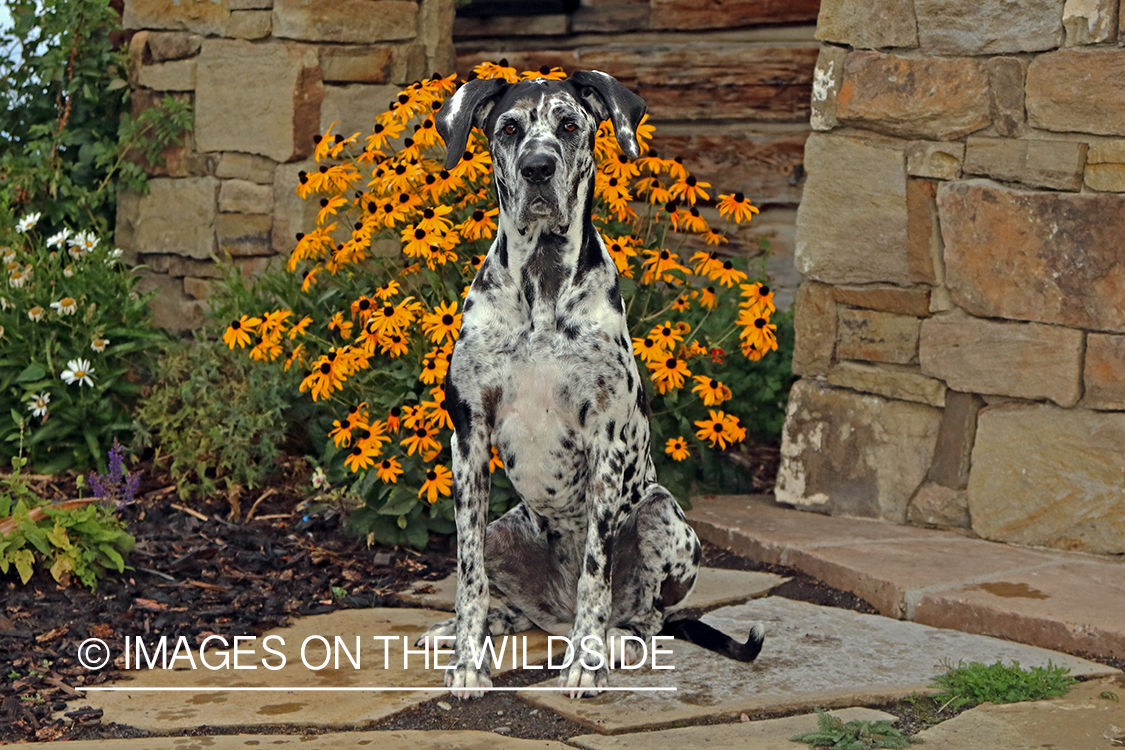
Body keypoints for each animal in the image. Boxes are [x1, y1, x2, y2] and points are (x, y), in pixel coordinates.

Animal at [423, 68, 765, 697]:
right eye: (509, 128)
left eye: (569, 124)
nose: (538, 168)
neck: (541, 283)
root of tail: (553, 617)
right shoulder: (469, 437)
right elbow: (468, 575)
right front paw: (467, 662)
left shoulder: (607, 441)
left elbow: (594, 572)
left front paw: (586, 663)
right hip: (505, 530)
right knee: (514, 606)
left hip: (662, 515)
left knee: (647, 616)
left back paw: (614, 641)